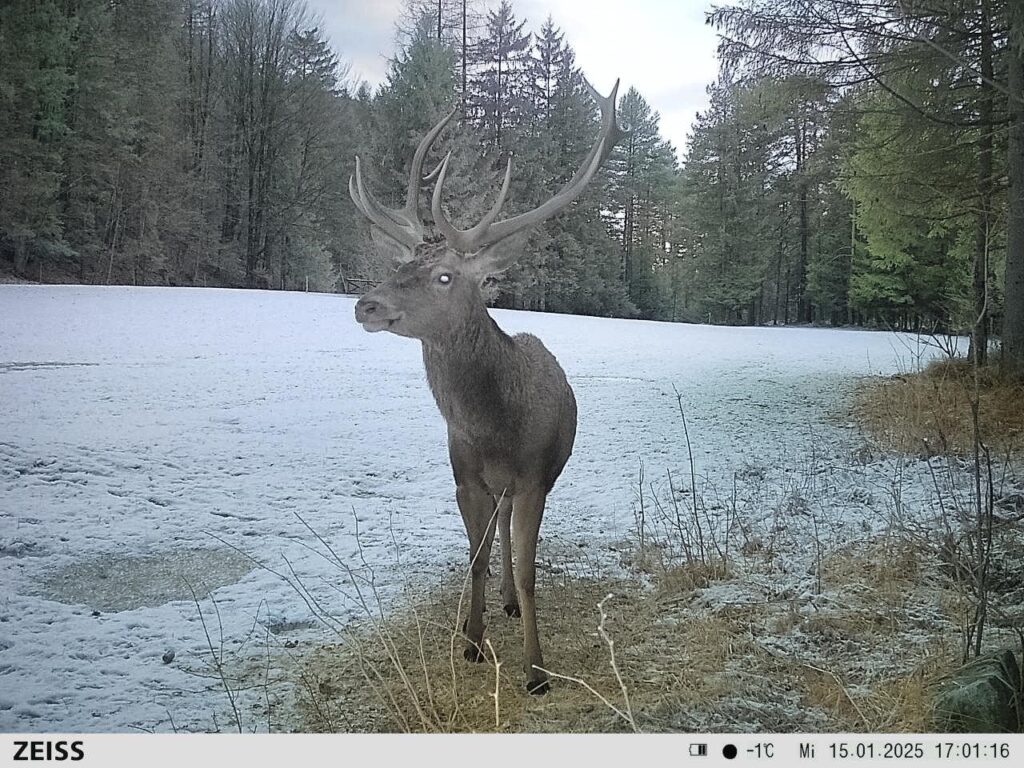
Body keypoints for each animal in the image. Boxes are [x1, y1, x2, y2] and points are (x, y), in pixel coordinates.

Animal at [350, 80, 626, 694]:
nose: (366, 304)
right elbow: (474, 556)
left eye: (445, 276)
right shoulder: (464, 476)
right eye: (402, 264)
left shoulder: (534, 479)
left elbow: (528, 571)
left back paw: (512, 607)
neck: (495, 430)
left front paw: (536, 669)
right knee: (496, 531)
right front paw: (472, 641)